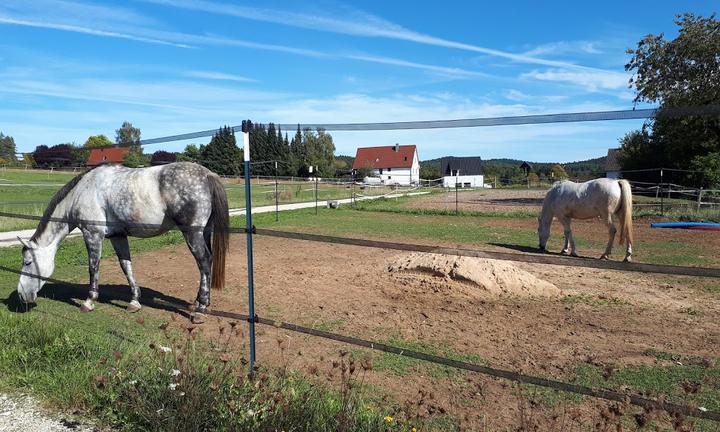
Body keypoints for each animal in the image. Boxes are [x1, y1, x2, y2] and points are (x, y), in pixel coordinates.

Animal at [16, 163, 228, 324]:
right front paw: (134, 301)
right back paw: (198, 303)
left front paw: (89, 302)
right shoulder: (118, 236)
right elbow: (126, 266)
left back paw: (201, 309)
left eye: (27, 262)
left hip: (192, 234)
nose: (21, 295)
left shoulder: (92, 235)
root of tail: (207, 174)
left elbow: (93, 268)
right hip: (203, 232)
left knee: (204, 262)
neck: (83, 191)